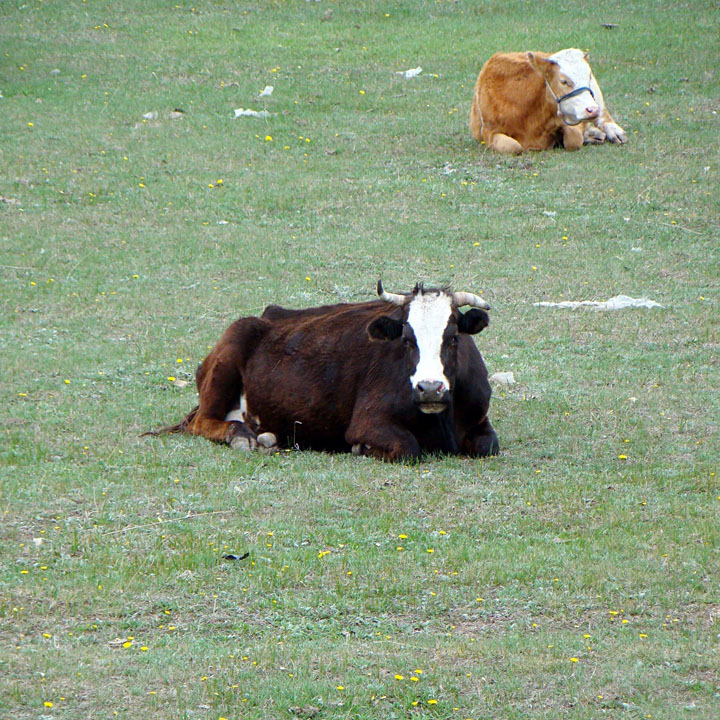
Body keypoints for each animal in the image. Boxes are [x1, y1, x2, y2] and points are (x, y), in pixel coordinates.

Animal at [143, 282, 498, 462]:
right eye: (407, 340)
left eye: (453, 338)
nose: (430, 388)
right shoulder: (369, 421)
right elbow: (407, 448)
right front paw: (361, 448)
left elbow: (487, 446)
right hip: (227, 358)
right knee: (201, 422)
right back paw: (241, 436)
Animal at [470, 48, 628, 155]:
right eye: (563, 81)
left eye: (588, 76)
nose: (592, 110)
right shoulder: (488, 132)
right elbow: (513, 146)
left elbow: (574, 139)